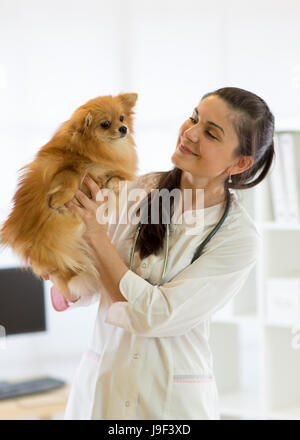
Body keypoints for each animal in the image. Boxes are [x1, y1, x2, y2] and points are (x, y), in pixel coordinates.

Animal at [0, 92, 138, 300]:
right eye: (105, 124)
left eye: (122, 118)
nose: (124, 128)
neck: (105, 150)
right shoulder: (63, 166)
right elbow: (71, 177)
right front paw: (57, 199)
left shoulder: (117, 169)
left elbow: (117, 178)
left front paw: (111, 184)